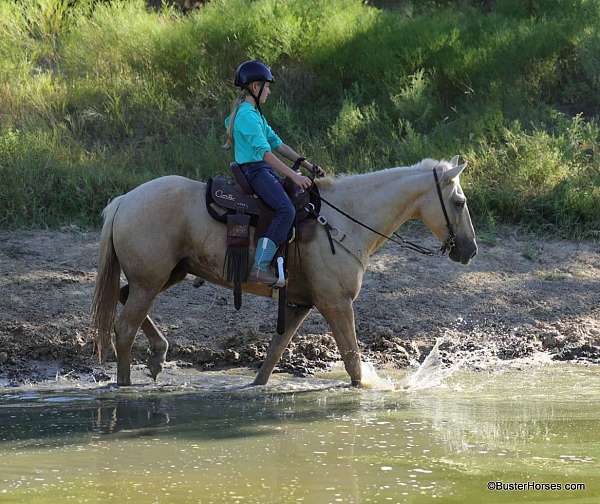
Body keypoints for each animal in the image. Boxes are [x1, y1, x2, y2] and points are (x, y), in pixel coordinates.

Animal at [91, 158, 476, 386]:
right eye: (459, 202)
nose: (470, 250)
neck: (344, 220)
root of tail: (124, 200)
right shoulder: (336, 303)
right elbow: (352, 362)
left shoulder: (298, 304)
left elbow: (273, 355)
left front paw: (255, 387)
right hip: (150, 281)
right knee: (124, 328)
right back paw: (126, 385)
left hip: (166, 275)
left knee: (125, 302)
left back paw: (158, 355)